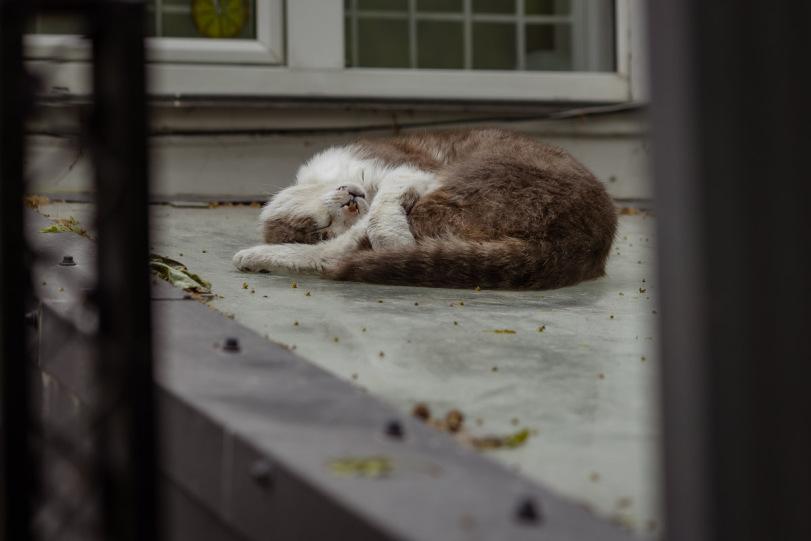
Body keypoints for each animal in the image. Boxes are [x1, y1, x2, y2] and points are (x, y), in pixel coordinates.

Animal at [232, 128, 620, 288]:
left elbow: (383, 207)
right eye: (326, 225)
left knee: (347, 253)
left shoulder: (412, 169)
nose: (350, 200)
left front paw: (391, 238)